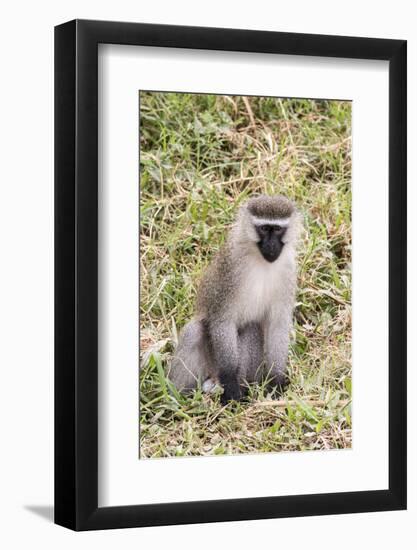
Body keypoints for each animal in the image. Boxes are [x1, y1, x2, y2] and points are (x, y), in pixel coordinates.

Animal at [168, 196, 300, 404]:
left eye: (277, 229)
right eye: (264, 229)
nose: (271, 246)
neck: (261, 261)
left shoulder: (288, 271)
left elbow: (278, 326)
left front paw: (276, 383)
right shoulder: (230, 267)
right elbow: (223, 320)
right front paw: (230, 384)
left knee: (252, 328)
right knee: (194, 331)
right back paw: (181, 399)